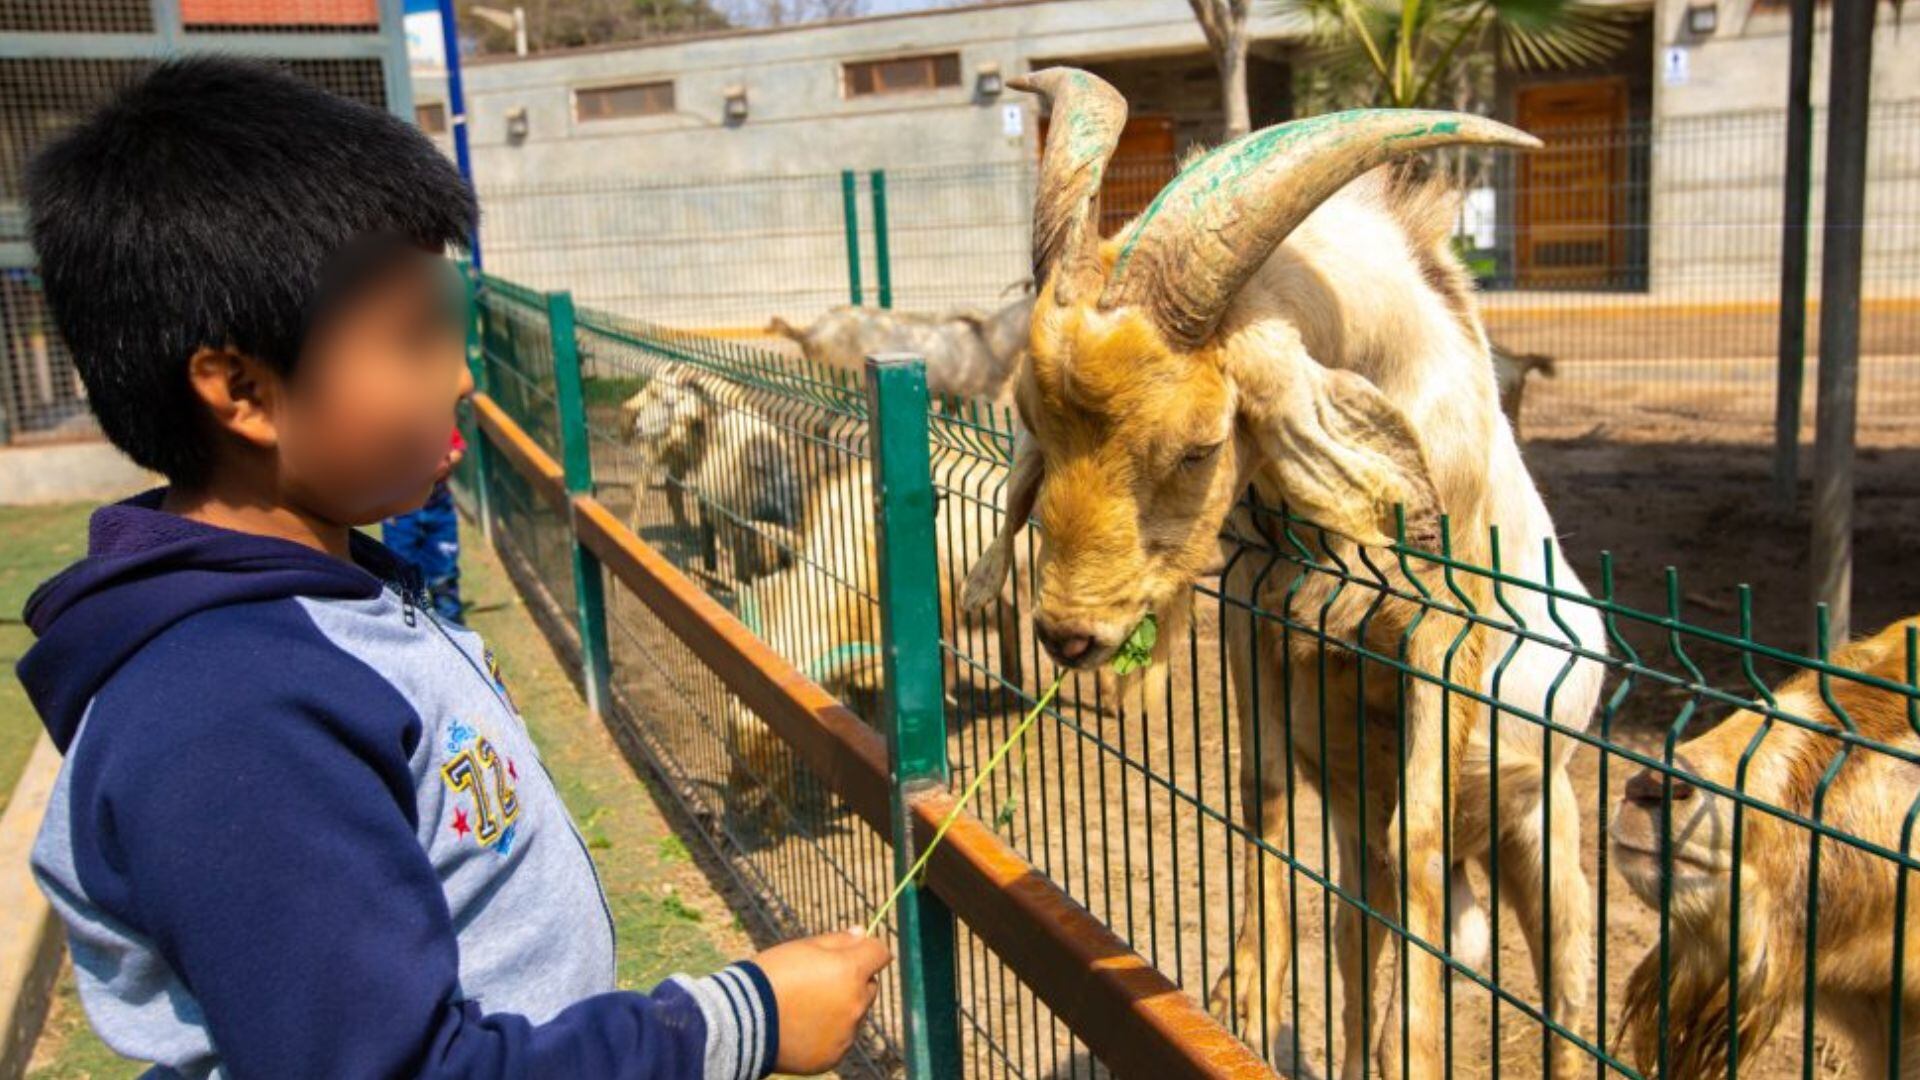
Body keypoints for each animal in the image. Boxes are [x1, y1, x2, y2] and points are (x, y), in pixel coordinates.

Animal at [960, 71, 1605, 1068]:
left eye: (1198, 446)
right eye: (1032, 416)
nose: (1068, 633)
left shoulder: (1443, 637)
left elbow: (1420, 840)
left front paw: (1414, 1053)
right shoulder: (1252, 605)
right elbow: (1261, 791)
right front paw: (1242, 1000)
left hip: (1542, 821)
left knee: (1567, 983)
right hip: (1358, 829)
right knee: (1354, 934)